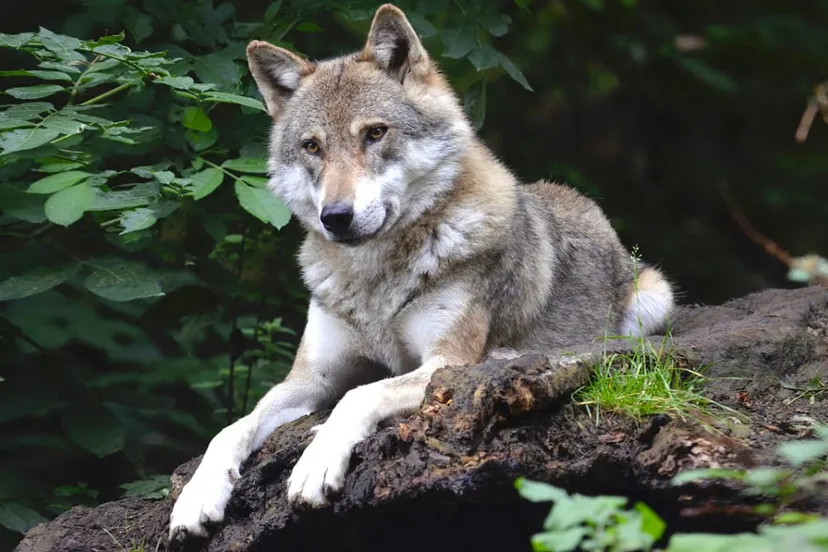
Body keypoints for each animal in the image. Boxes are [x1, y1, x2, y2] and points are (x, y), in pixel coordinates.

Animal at [168, 3, 675, 539]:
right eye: (312, 147)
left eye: (375, 133)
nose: (335, 216)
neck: (374, 280)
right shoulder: (310, 378)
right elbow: (232, 428)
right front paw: (197, 497)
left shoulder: (442, 363)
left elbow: (359, 396)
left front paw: (315, 463)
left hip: (653, 299)